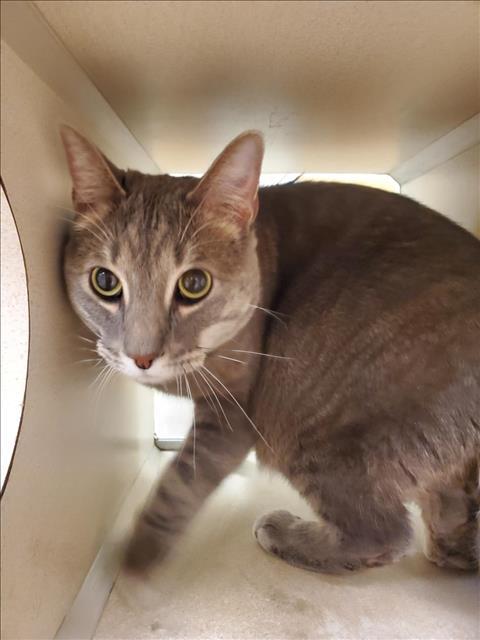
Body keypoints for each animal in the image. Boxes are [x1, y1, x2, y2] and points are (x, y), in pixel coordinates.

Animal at [61, 125, 480, 575]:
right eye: (105, 281)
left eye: (194, 284)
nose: (142, 357)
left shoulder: (233, 412)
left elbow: (182, 479)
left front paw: (141, 550)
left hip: (306, 420)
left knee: (383, 532)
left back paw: (288, 534)